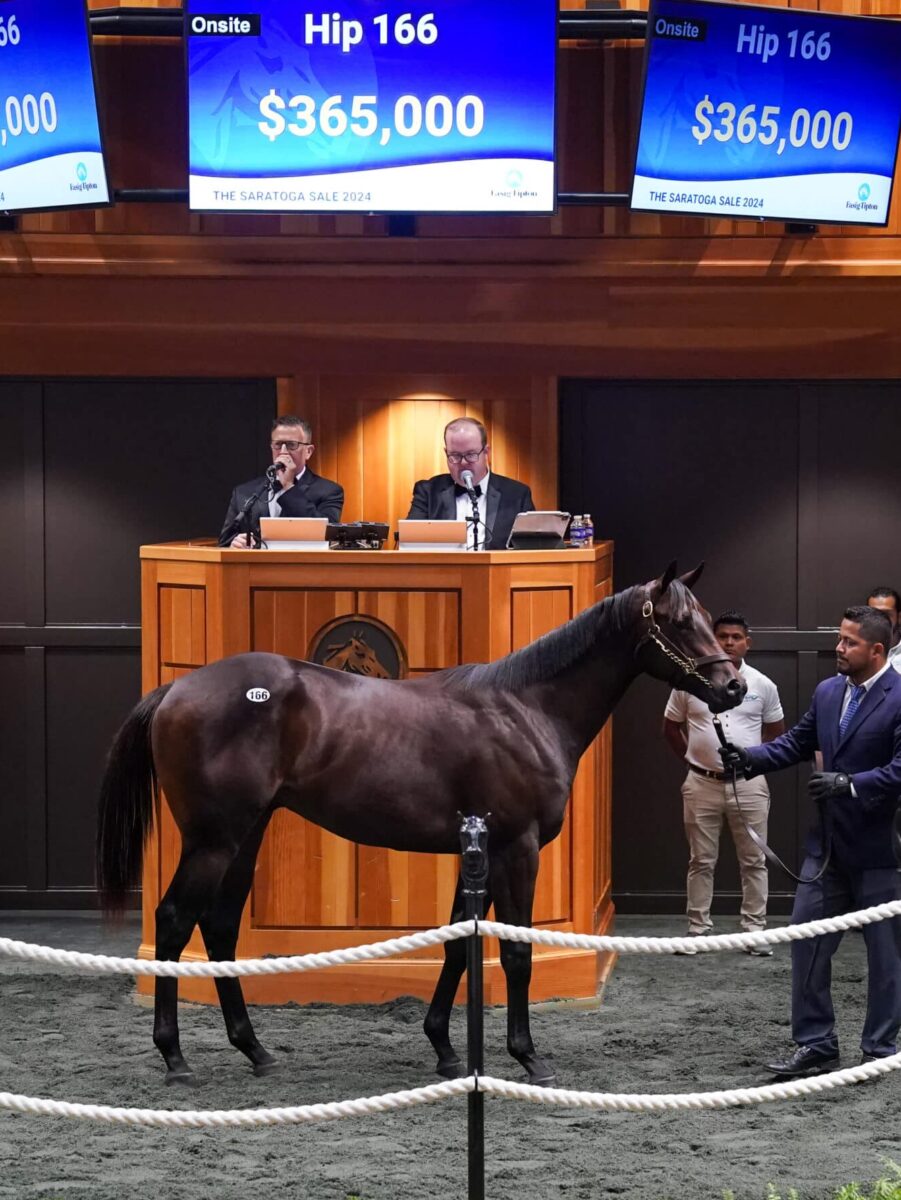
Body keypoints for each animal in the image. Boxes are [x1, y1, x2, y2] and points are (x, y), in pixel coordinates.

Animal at [97, 561, 748, 1089]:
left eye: (707, 618)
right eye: (679, 622)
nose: (734, 686)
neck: (526, 710)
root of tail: (177, 687)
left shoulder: (476, 851)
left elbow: (458, 942)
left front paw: (445, 1050)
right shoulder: (517, 850)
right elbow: (515, 952)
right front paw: (528, 1056)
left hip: (246, 835)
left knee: (220, 925)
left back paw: (254, 1050)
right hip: (214, 840)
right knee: (174, 921)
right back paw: (175, 1058)